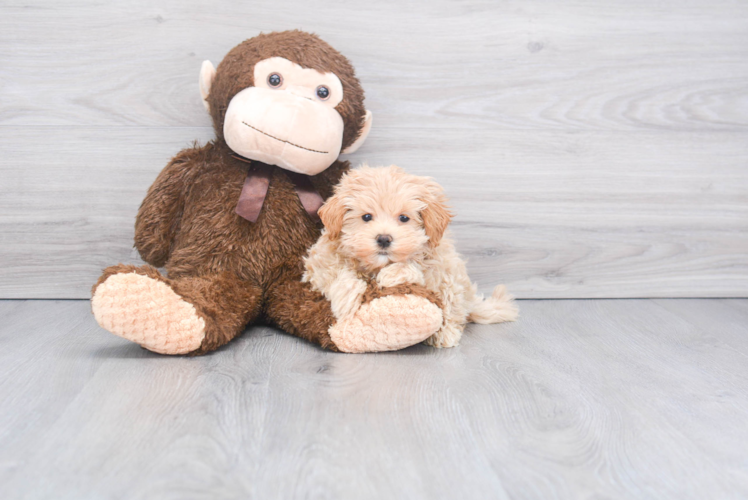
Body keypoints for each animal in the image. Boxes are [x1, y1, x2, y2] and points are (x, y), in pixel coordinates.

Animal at [300, 164, 516, 348]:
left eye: (404, 218)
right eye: (366, 217)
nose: (384, 239)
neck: (376, 265)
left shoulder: (436, 264)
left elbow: (413, 266)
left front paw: (391, 274)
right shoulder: (317, 264)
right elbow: (336, 273)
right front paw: (347, 298)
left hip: (452, 280)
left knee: (452, 309)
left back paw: (445, 334)